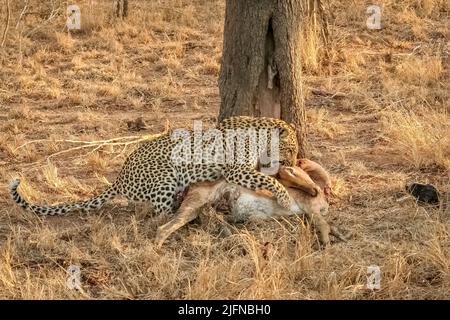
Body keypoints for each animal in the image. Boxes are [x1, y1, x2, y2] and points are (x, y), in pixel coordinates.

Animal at [9, 115, 298, 215]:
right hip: (165, 176)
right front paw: (284, 198)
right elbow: (267, 179)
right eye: (292, 149)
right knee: (159, 213)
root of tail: (119, 179)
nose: (295, 162)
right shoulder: (237, 170)